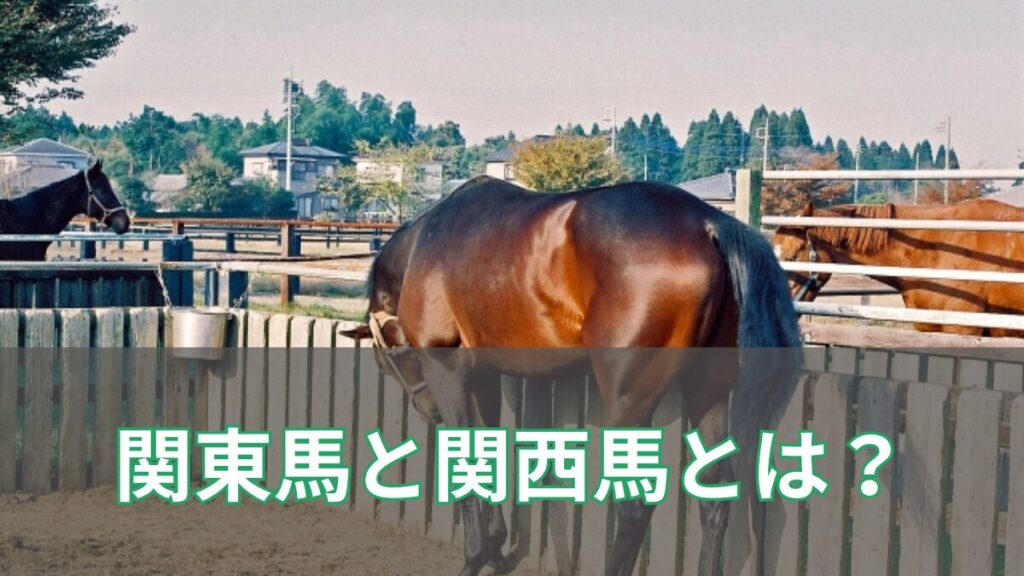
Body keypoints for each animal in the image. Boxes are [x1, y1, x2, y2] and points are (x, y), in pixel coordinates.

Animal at [342, 176, 801, 576]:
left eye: (390, 359)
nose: (429, 410)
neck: (426, 242)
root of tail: (708, 224)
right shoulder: (486, 374)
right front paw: (495, 550)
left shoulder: (447, 369)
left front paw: (474, 559)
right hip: (708, 391)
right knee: (715, 493)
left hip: (629, 399)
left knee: (634, 505)